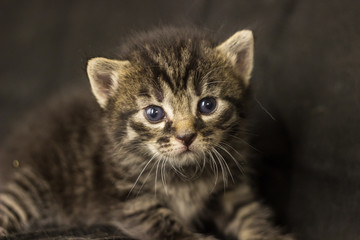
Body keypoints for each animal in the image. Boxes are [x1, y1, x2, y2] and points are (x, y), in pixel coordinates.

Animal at [0, 27, 292, 239]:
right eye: (154, 113)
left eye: (208, 105)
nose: (186, 137)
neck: (186, 175)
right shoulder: (130, 199)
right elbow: (164, 221)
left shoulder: (231, 188)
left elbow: (250, 214)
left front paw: (269, 235)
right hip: (32, 181)